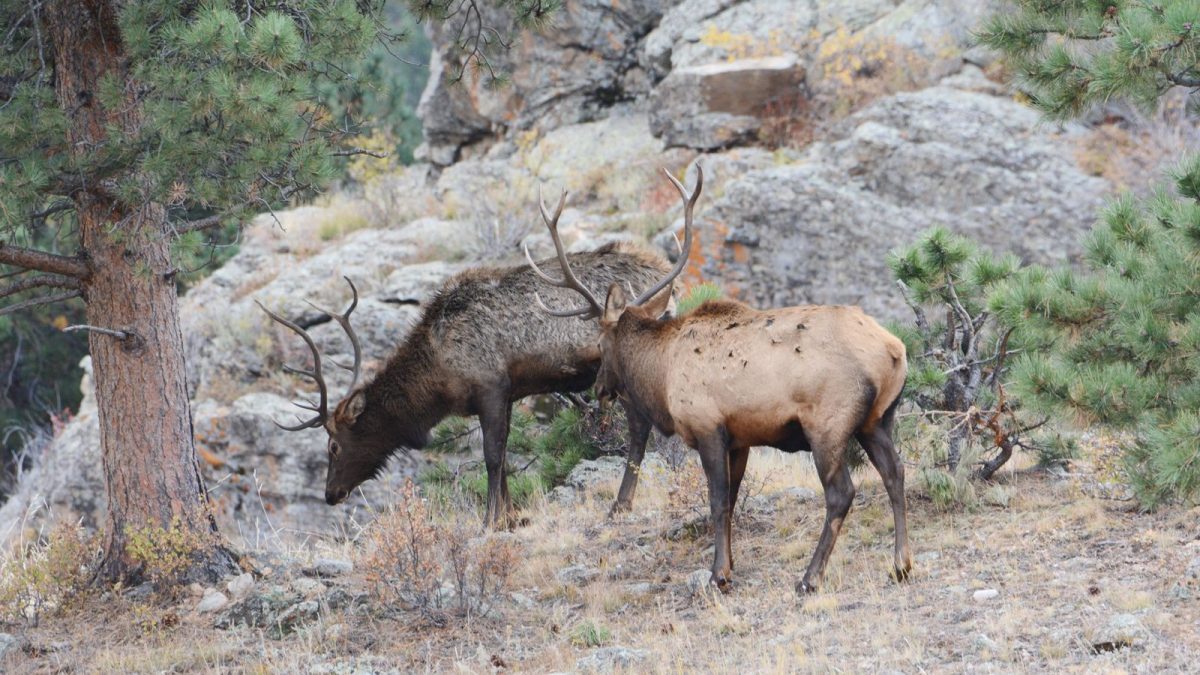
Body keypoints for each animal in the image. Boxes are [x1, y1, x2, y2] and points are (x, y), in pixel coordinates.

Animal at [255, 237, 675, 528]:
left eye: (333, 446)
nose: (331, 494)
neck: (437, 375)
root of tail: (663, 272)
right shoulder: (506, 395)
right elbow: (503, 456)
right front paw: (510, 517)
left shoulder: (490, 386)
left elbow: (492, 456)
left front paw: (491, 520)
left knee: (640, 428)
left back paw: (620, 504)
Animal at [528, 165, 912, 593]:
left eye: (599, 342)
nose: (600, 389)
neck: (661, 373)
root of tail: (893, 351)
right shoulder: (740, 438)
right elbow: (731, 500)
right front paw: (729, 565)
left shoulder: (708, 426)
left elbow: (717, 501)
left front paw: (718, 574)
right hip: (878, 420)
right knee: (896, 474)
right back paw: (901, 565)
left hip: (828, 423)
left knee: (841, 492)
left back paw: (810, 577)